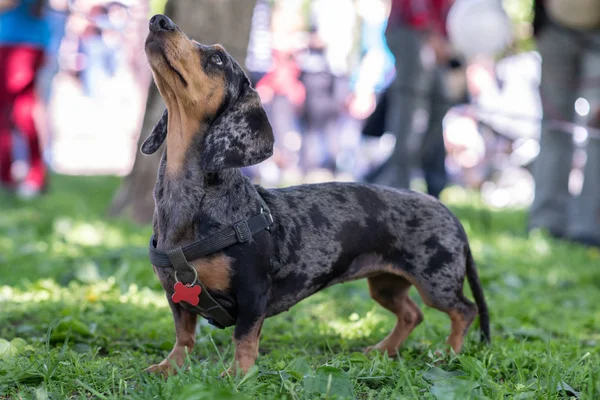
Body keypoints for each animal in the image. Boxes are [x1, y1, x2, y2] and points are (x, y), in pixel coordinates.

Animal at [143, 14, 490, 378]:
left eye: (218, 59)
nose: (159, 20)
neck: (189, 202)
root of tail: (446, 209)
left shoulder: (253, 292)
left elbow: (244, 339)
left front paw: (237, 375)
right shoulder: (177, 296)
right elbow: (184, 335)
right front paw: (169, 367)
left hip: (436, 283)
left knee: (464, 310)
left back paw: (448, 354)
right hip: (385, 284)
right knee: (413, 313)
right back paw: (384, 350)